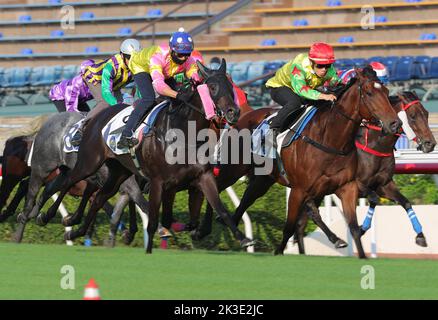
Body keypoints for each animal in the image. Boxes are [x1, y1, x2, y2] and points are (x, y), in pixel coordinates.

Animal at [39, 59, 255, 252]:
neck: (184, 132)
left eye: (230, 85)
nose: (234, 112)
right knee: (69, 181)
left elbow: (219, 209)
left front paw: (243, 239)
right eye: (212, 87)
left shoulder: (201, 177)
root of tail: (95, 118)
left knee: (99, 197)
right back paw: (47, 215)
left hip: (119, 172)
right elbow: (152, 218)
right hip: (89, 162)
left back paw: (75, 231)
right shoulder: (159, 182)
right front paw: (150, 244)